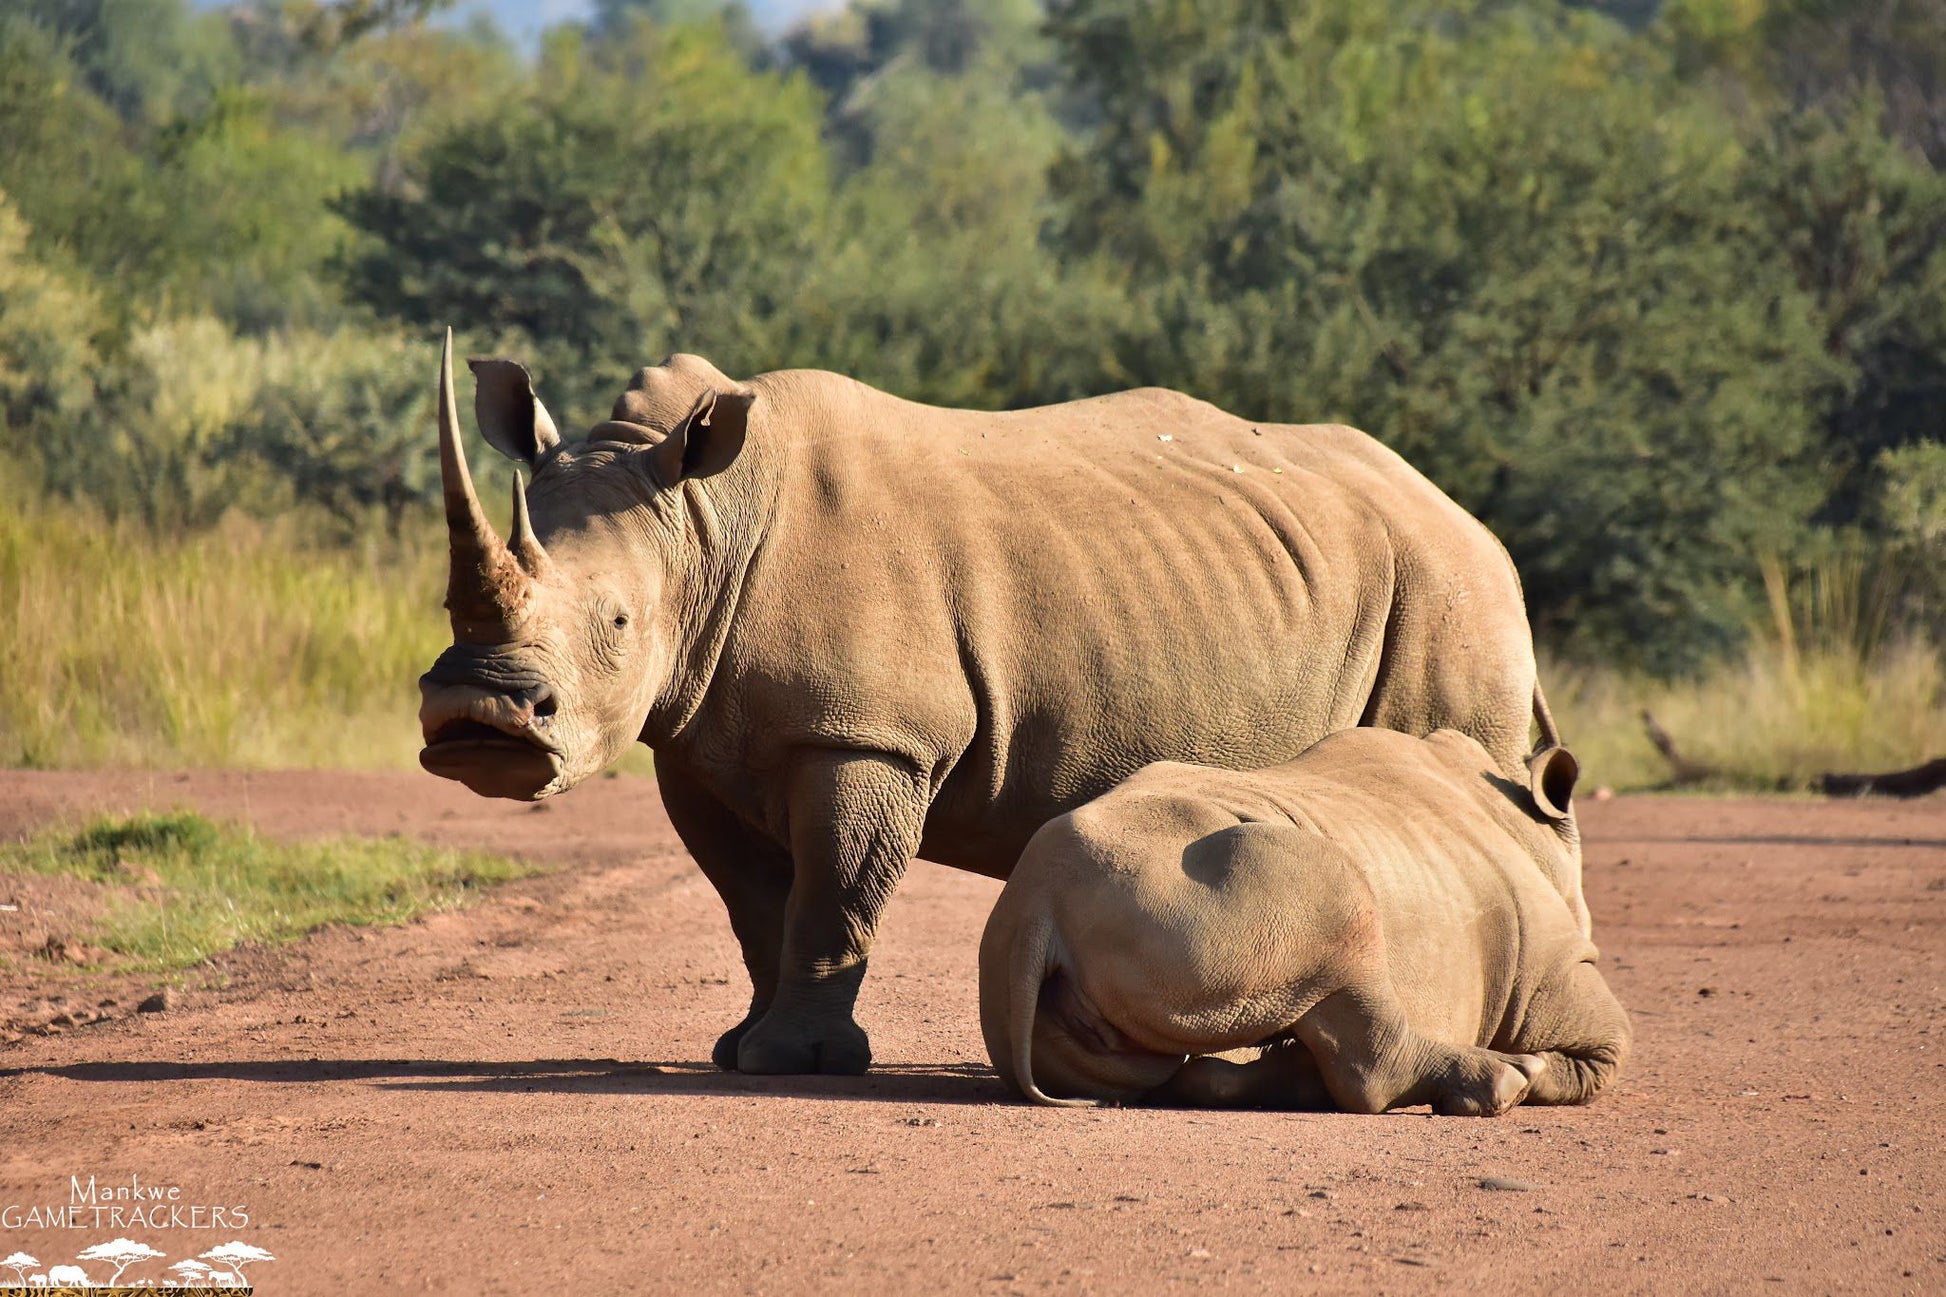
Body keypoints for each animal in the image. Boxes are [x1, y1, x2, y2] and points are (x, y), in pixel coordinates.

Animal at [418, 333, 1572, 1067]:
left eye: (616, 622)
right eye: (441, 600)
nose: (479, 721)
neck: (701, 520)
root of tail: (1464, 515)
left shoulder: (868, 736)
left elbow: (831, 892)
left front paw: (798, 1062)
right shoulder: (696, 737)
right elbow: (752, 905)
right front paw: (737, 1048)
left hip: (1447, 585)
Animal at [973, 728, 1626, 1113]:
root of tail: (1039, 907)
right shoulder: (1555, 960)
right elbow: (1607, 1048)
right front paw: (1537, 1070)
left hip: (1068, 933)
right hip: (1199, 889)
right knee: (1344, 911)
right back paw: (1505, 1079)